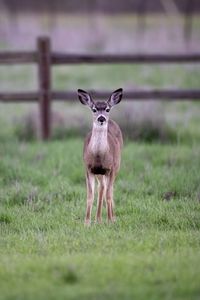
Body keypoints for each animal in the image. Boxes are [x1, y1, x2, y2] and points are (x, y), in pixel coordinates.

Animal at [77, 88, 122, 224]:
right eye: (94, 109)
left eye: (107, 109)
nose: (101, 118)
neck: (98, 156)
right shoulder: (88, 169)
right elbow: (90, 196)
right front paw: (87, 222)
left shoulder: (110, 169)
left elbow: (108, 194)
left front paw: (110, 220)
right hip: (99, 173)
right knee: (101, 187)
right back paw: (98, 219)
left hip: (117, 166)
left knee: (109, 189)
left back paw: (110, 217)